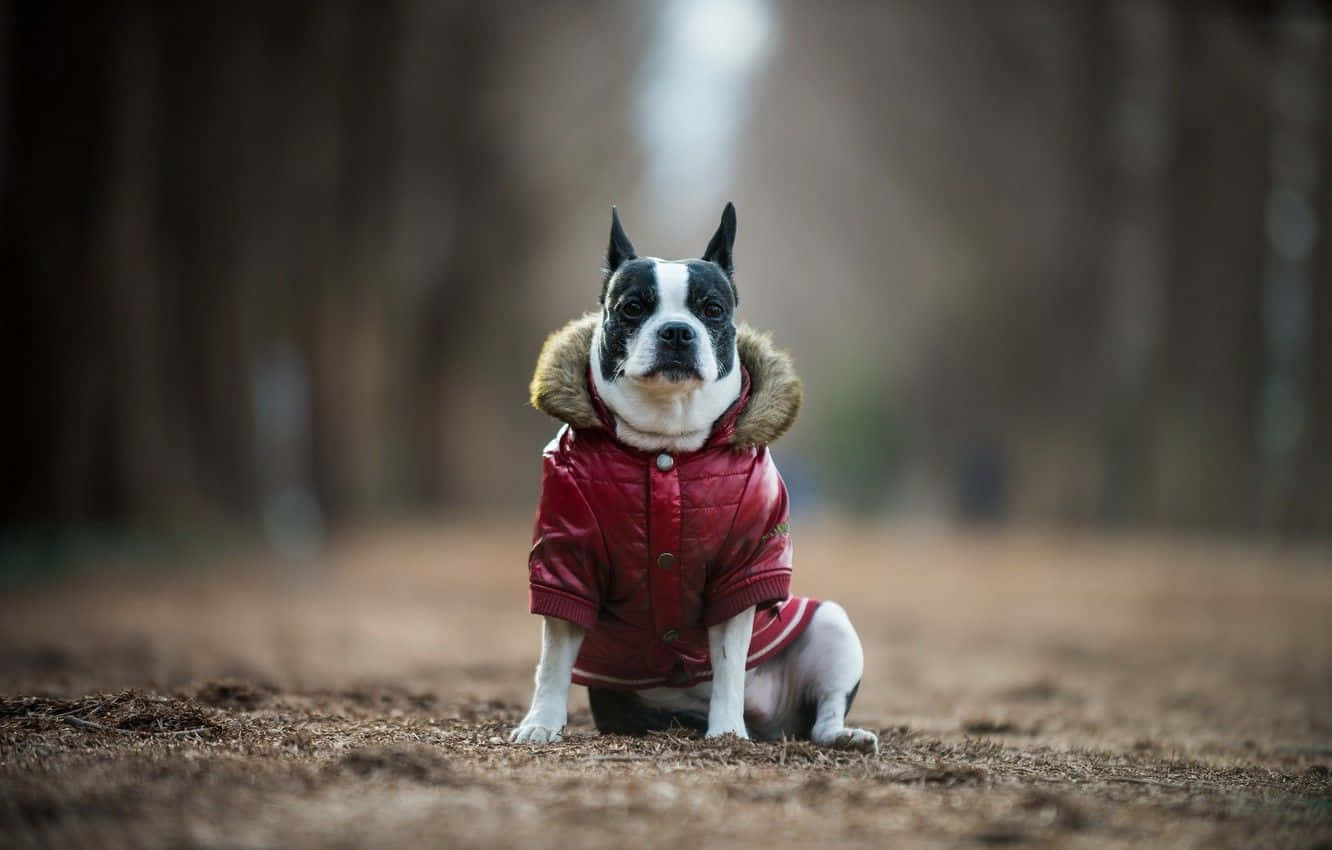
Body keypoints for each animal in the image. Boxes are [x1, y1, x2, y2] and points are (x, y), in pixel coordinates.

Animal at [506, 205, 873, 751]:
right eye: (633, 308)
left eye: (713, 310)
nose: (677, 330)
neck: (666, 442)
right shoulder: (567, 555)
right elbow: (554, 658)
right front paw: (541, 722)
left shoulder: (743, 566)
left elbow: (728, 663)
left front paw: (727, 730)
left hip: (832, 625)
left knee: (822, 714)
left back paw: (838, 734)